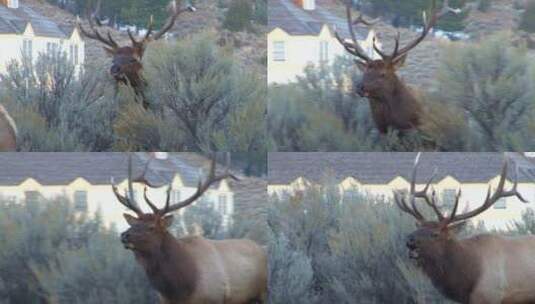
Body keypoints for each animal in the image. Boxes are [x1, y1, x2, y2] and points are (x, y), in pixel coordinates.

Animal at [112, 156, 268, 302]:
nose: (124, 235)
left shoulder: (215, 298)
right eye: (133, 224)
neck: (181, 289)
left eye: (151, 227)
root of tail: (259, 247)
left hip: (262, 293)